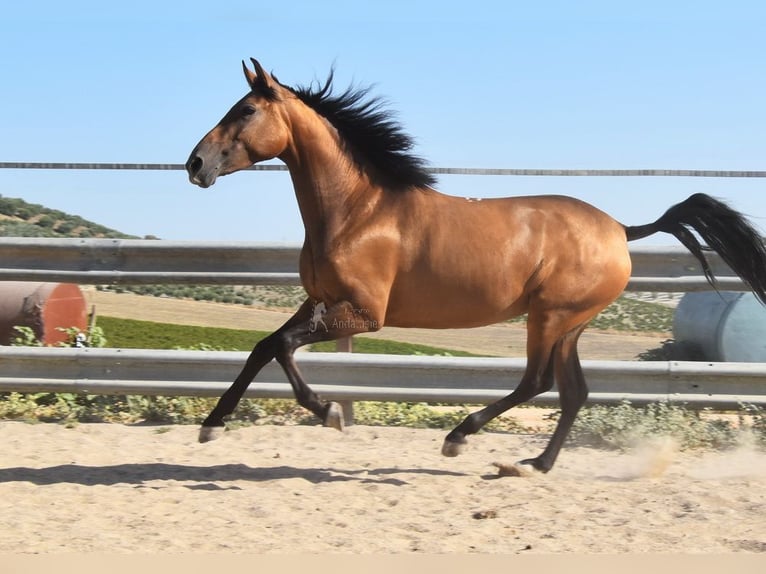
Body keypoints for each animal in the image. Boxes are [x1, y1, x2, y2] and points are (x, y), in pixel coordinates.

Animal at [186, 58, 766, 474]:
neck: (358, 210)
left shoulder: (364, 314)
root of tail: (621, 230)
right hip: (570, 325)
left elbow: (283, 346)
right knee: (573, 391)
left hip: (550, 317)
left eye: (245, 111)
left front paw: (328, 413)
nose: (196, 164)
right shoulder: (320, 301)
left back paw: (459, 438)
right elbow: (263, 348)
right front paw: (212, 425)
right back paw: (535, 464)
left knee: (537, 381)